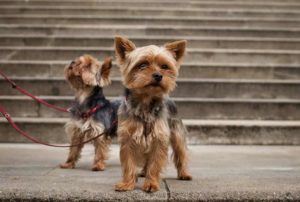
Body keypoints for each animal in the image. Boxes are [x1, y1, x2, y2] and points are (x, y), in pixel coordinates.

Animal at [113, 36, 191, 193]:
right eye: (142, 65)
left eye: (165, 66)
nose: (158, 75)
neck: (145, 101)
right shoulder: (127, 137)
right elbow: (129, 162)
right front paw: (127, 184)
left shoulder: (159, 137)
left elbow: (155, 163)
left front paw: (151, 184)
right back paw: (143, 172)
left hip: (177, 133)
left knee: (181, 153)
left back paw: (184, 174)